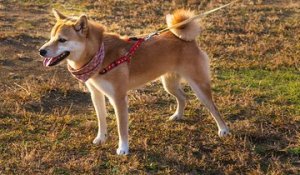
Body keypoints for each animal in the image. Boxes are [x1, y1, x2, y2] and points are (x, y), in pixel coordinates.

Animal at [38, 9, 229, 154]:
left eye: (62, 40)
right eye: (50, 37)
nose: (41, 51)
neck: (99, 54)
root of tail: (183, 38)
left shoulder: (119, 98)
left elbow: (121, 127)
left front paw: (123, 149)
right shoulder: (96, 93)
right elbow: (101, 119)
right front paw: (101, 138)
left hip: (199, 86)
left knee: (213, 108)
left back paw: (224, 130)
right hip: (169, 84)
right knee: (182, 97)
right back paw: (177, 116)